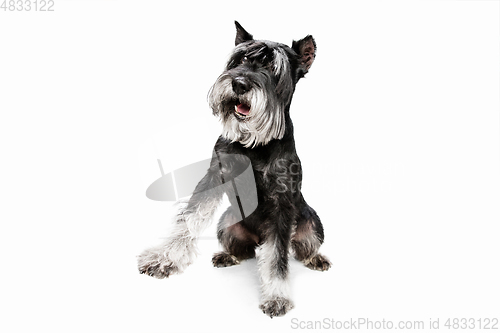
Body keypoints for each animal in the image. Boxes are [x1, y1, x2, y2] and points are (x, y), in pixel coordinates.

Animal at [139, 20, 330, 316]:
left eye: (274, 69)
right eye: (240, 59)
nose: (239, 83)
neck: (254, 143)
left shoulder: (281, 201)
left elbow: (278, 253)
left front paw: (277, 296)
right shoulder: (214, 175)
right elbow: (189, 219)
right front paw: (164, 258)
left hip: (312, 223)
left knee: (298, 247)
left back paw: (316, 258)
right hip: (227, 224)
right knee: (246, 250)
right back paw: (227, 255)